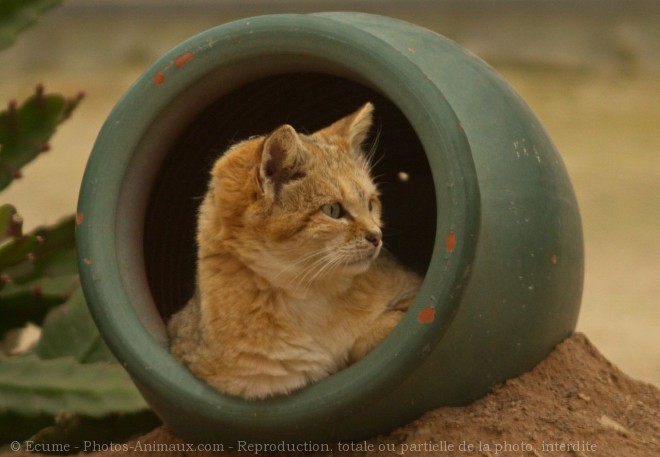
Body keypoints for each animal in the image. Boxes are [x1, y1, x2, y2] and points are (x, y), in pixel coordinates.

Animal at [168, 103, 420, 400]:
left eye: (371, 204)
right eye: (333, 210)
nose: (377, 236)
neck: (308, 294)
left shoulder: (411, 290)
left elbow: (378, 329)